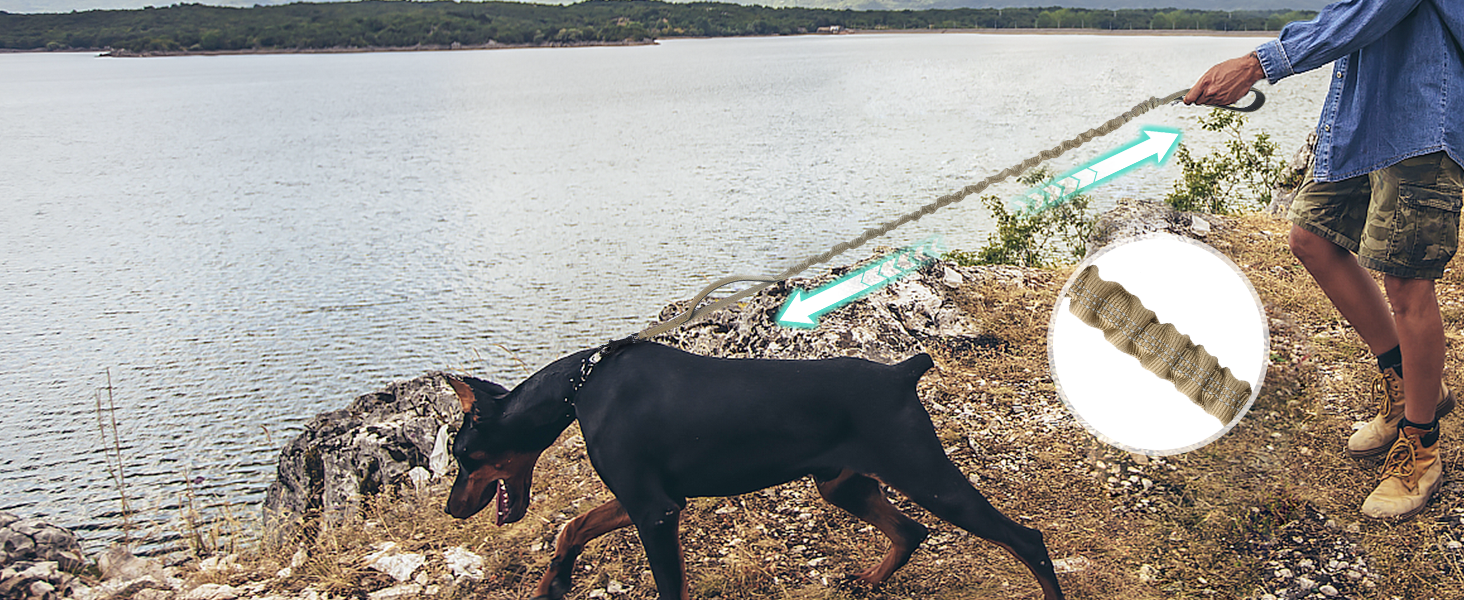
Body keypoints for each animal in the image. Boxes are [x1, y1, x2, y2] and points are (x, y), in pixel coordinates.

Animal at [445, 339, 1065, 597]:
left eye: (460, 453)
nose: (452, 509)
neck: (583, 386)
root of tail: (902, 372)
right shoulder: (648, 499)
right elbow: (572, 529)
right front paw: (552, 583)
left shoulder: (654, 510)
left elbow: (667, 585)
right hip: (842, 484)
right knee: (911, 530)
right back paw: (868, 581)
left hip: (924, 474)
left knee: (1026, 539)